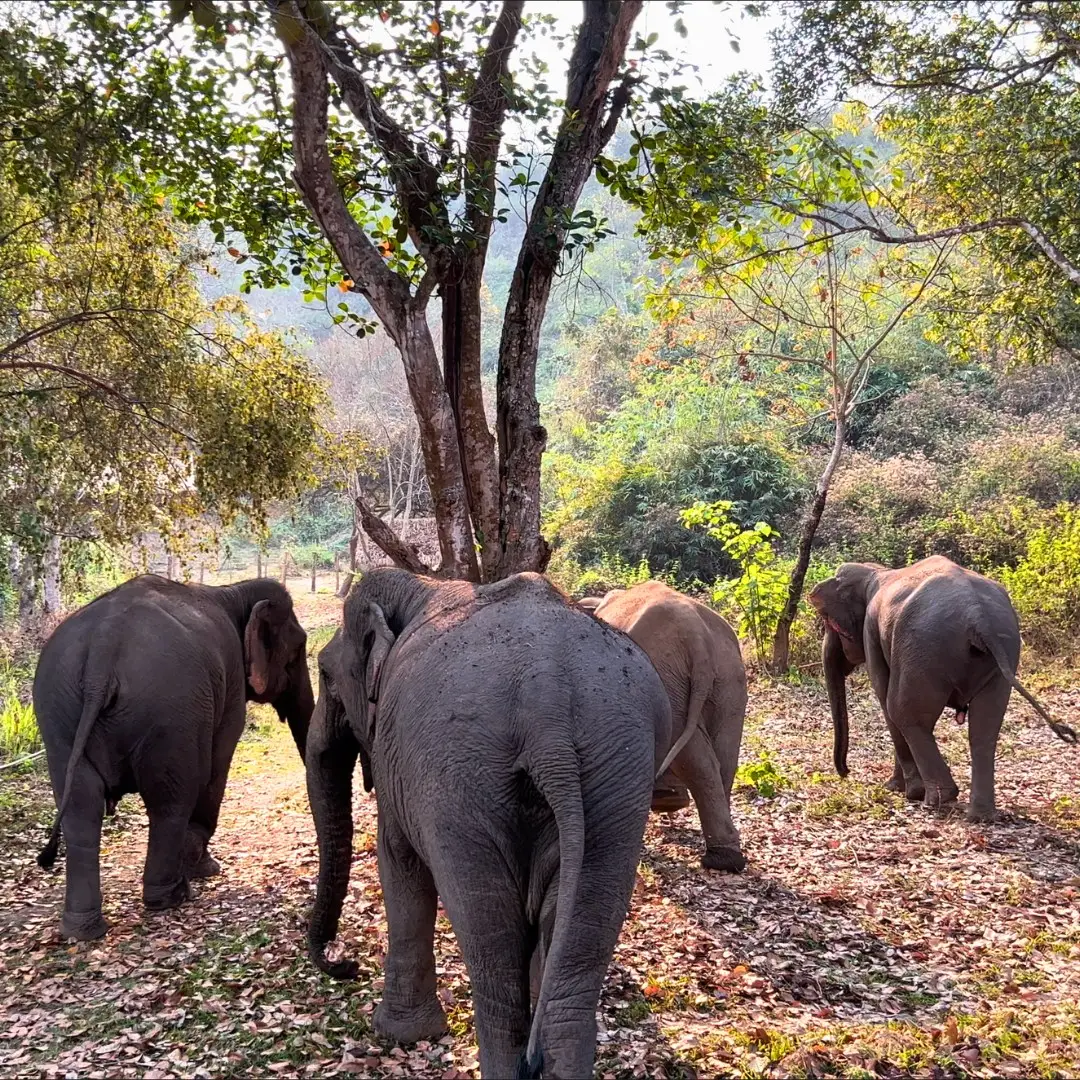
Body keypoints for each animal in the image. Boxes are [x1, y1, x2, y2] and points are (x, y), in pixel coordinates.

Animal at [33, 574, 314, 941]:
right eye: (298, 649)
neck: (231, 591)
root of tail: (102, 655)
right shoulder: (231, 684)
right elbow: (217, 765)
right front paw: (206, 869)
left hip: (59, 712)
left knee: (82, 808)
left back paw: (81, 930)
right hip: (171, 710)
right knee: (171, 799)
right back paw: (171, 897)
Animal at [305, 568, 670, 1080]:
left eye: (324, 673)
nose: (346, 966)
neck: (419, 586)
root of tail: (548, 708)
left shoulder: (401, 766)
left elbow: (398, 862)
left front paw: (400, 1035)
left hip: (460, 783)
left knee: (491, 945)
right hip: (617, 776)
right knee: (579, 950)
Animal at [580, 581, 748, 873]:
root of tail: (698, 637)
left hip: (672, 676)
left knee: (696, 758)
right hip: (728, 680)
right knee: (723, 758)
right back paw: (726, 858)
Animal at [810, 555, 1077, 821]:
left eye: (831, 622)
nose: (846, 772)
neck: (876, 571)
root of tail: (977, 615)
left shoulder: (871, 633)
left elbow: (884, 699)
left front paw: (896, 788)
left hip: (924, 648)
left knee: (902, 711)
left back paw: (934, 798)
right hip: (1002, 650)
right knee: (983, 728)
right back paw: (979, 815)